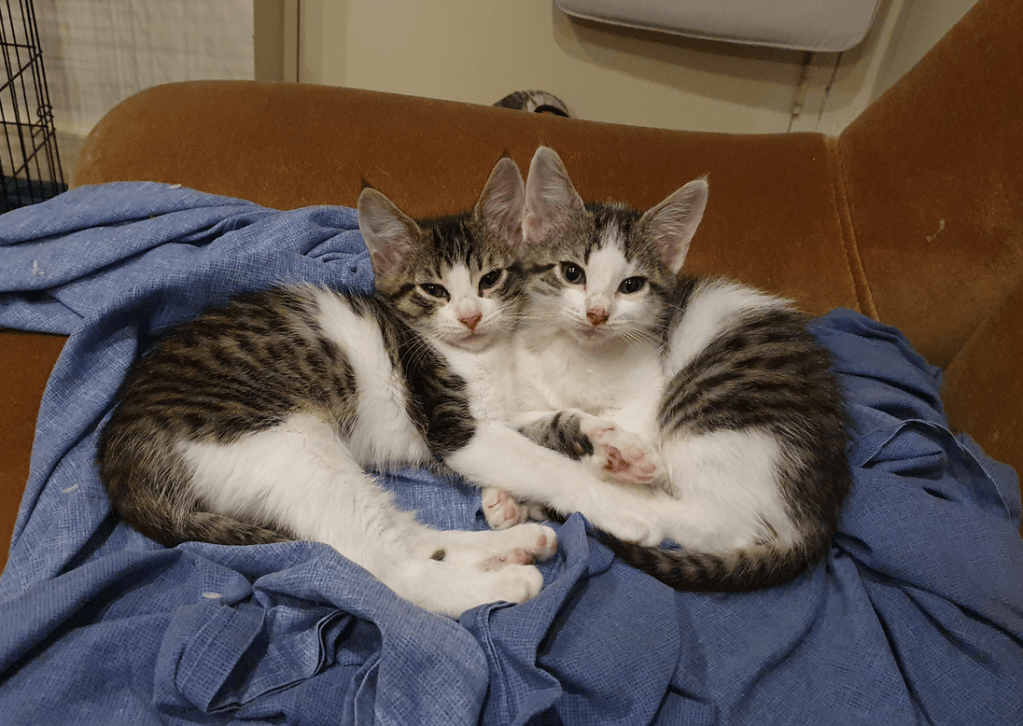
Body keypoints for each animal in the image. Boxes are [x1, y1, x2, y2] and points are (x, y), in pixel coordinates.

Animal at [481, 147, 852, 592]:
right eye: (572, 272)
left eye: (632, 286)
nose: (597, 313)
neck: (579, 355)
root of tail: (817, 522)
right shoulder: (524, 388)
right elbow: (533, 423)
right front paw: (511, 493)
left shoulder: (646, 397)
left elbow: (613, 429)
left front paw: (614, 456)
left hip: (712, 412)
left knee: (719, 524)